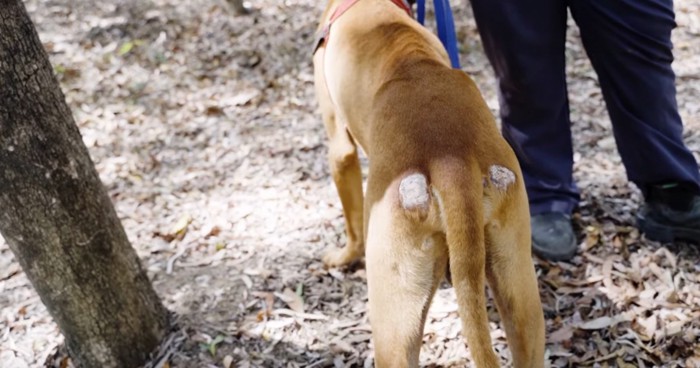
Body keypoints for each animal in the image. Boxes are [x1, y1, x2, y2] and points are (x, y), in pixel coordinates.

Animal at [314, 1, 548, 366]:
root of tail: (449, 158)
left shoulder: (340, 148)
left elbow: (351, 227)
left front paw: (343, 257)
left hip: (394, 325)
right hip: (520, 294)